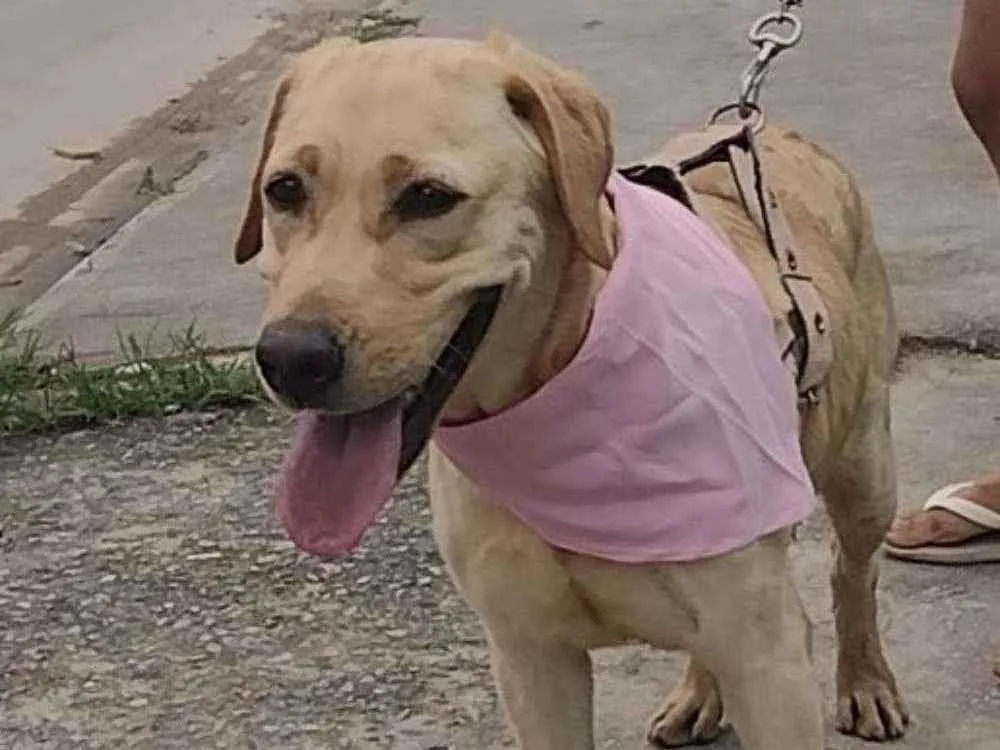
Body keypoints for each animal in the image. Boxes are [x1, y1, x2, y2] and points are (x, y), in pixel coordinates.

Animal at [234, 31, 907, 749]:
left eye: (428, 197)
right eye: (284, 189)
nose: (291, 358)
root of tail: (765, 126)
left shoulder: (768, 661)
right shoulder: (530, 657)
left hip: (864, 474)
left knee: (852, 569)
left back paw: (866, 680)